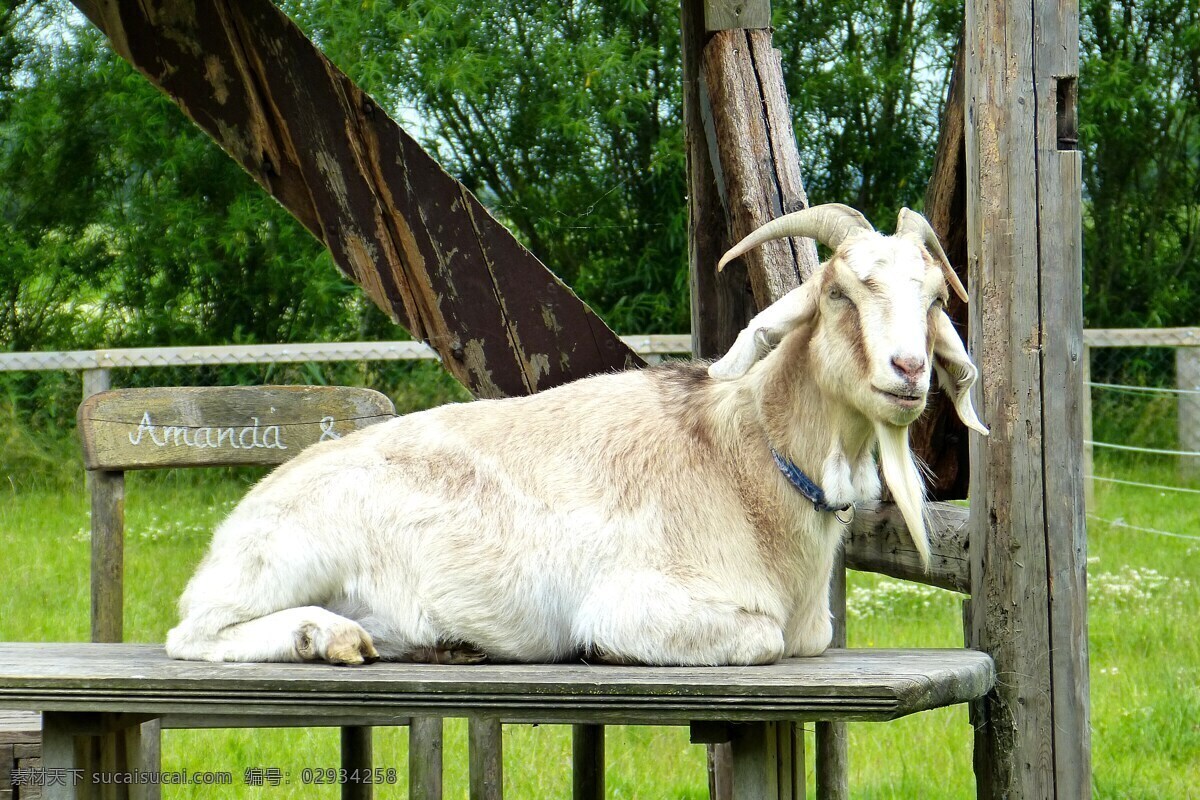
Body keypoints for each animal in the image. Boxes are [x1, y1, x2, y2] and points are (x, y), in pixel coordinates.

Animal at [171, 203, 993, 666]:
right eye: (838, 293)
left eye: (931, 299)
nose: (908, 369)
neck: (742, 461)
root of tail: (240, 517)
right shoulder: (636, 602)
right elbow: (753, 638)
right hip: (286, 557)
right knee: (194, 633)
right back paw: (326, 637)